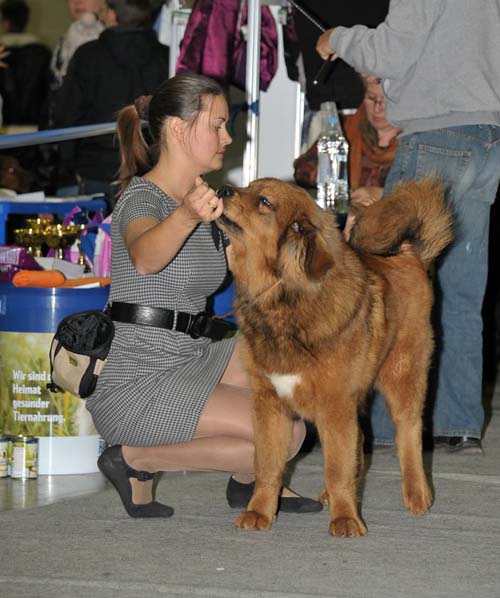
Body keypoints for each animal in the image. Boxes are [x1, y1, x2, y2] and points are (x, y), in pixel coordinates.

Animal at [218, 177, 454, 540]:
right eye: (247, 186)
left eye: (264, 202)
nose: (222, 190)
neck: (283, 299)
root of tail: (408, 254)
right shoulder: (269, 402)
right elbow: (268, 466)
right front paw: (259, 512)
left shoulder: (334, 403)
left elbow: (337, 467)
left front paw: (345, 519)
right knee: (362, 443)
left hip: (404, 377)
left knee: (409, 435)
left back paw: (417, 495)